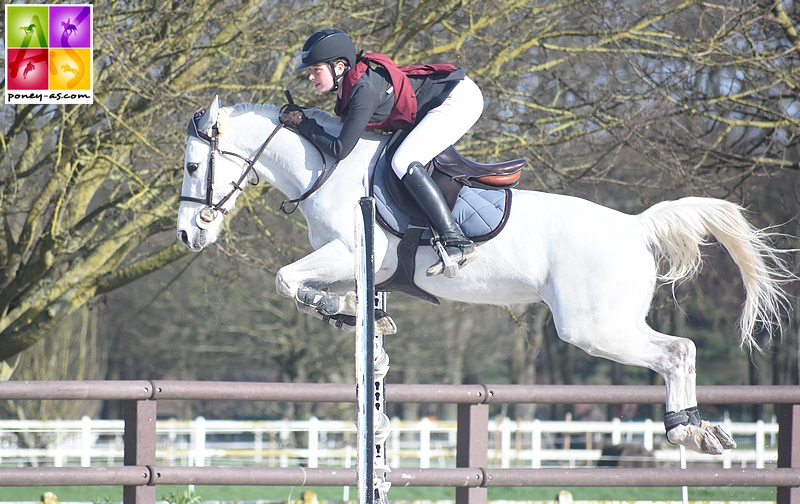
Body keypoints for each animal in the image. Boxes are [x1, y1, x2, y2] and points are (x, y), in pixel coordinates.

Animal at [177, 97, 792, 456]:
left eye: (191, 165)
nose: (188, 236)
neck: (327, 166)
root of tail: (635, 226)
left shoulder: (354, 252)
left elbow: (286, 278)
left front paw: (335, 310)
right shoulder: (350, 264)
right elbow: (317, 291)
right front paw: (354, 316)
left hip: (592, 326)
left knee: (678, 351)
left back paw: (685, 429)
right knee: (679, 351)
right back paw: (696, 429)